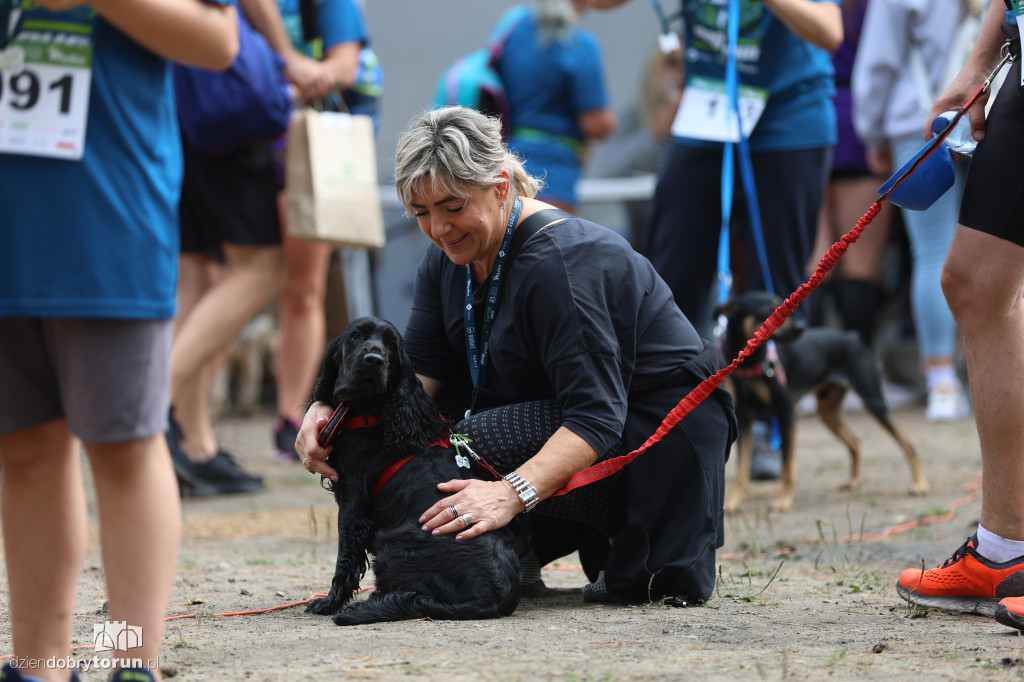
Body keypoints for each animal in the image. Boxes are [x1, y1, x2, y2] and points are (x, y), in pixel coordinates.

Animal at [712, 290, 929, 509]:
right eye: (768, 309)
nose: (801, 327)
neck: (751, 361)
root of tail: (852, 337)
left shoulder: (787, 413)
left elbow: (787, 467)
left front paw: (783, 500)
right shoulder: (743, 417)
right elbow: (742, 468)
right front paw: (733, 501)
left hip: (873, 402)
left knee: (908, 445)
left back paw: (920, 484)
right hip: (829, 412)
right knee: (855, 442)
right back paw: (853, 481)